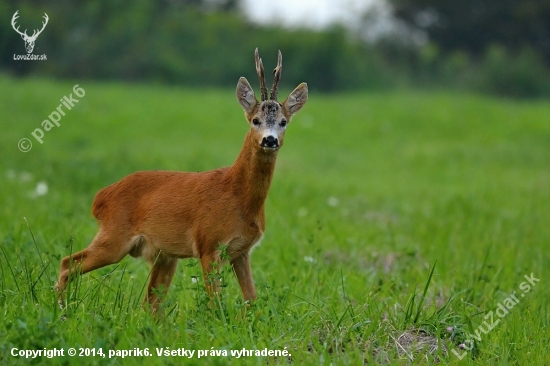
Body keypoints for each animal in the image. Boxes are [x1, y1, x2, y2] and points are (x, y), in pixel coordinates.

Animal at [57, 47, 308, 314]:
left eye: (283, 122)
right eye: (255, 120)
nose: (269, 140)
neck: (238, 196)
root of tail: (101, 197)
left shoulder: (242, 251)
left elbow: (251, 299)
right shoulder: (209, 244)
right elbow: (216, 304)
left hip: (164, 256)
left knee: (149, 305)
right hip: (115, 237)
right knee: (66, 263)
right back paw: (61, 310)